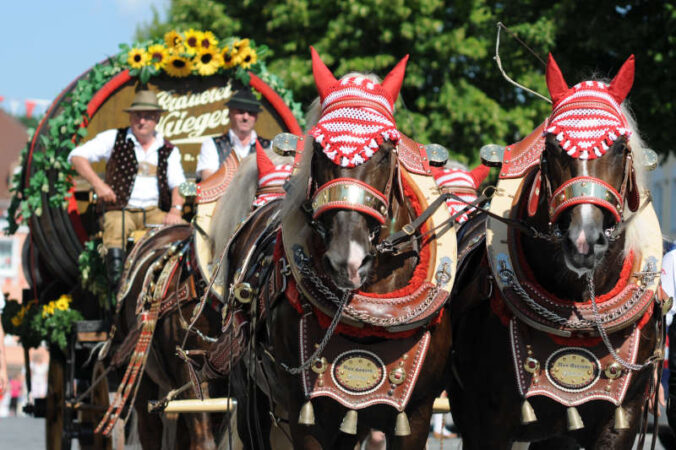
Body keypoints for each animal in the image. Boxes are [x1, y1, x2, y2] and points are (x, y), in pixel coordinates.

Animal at [217, 50, 452, 450]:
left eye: (385, 150)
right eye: (319, 150)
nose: (348, 260)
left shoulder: (416, 412)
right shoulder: (307, 413)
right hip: (251, 399)